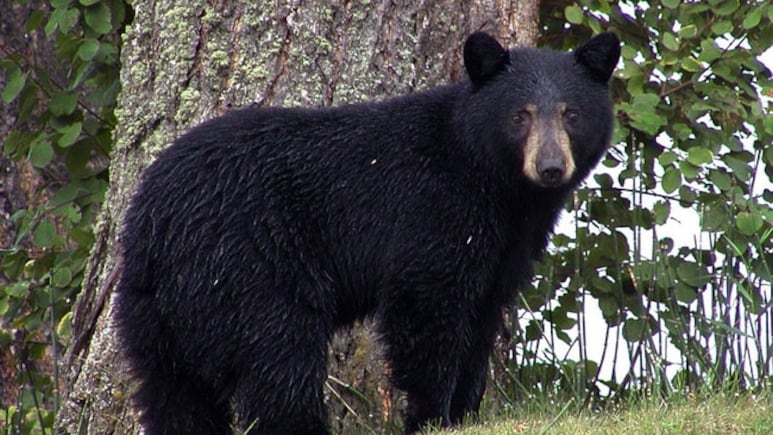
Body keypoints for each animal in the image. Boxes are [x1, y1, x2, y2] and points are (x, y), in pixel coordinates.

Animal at [114, 31, 620, 434]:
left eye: (571, 114)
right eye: (521, 115)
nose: (551, 167)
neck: (494, 183)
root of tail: (154, 221)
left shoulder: (504, 247)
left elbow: (481, 319)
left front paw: (465, 414)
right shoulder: (433, 213)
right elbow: (426, 309)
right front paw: (432, 417)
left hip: (154, 310)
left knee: (173, 390)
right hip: (248, 266)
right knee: (279, 358)